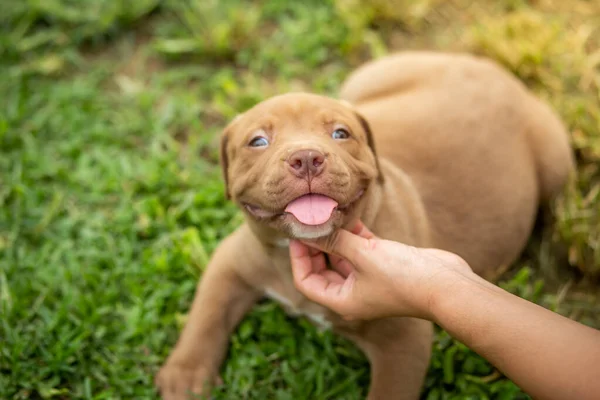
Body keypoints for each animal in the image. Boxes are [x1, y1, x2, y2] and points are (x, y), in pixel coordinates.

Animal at [156, 51, 576, 398]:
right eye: (257, 141)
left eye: (341, 134)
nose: (306, 158)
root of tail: (493, 69)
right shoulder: (232, 259)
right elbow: (207, 311)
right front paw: (185, 375)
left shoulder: (403, 342)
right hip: (369, 77)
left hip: (555, 163)